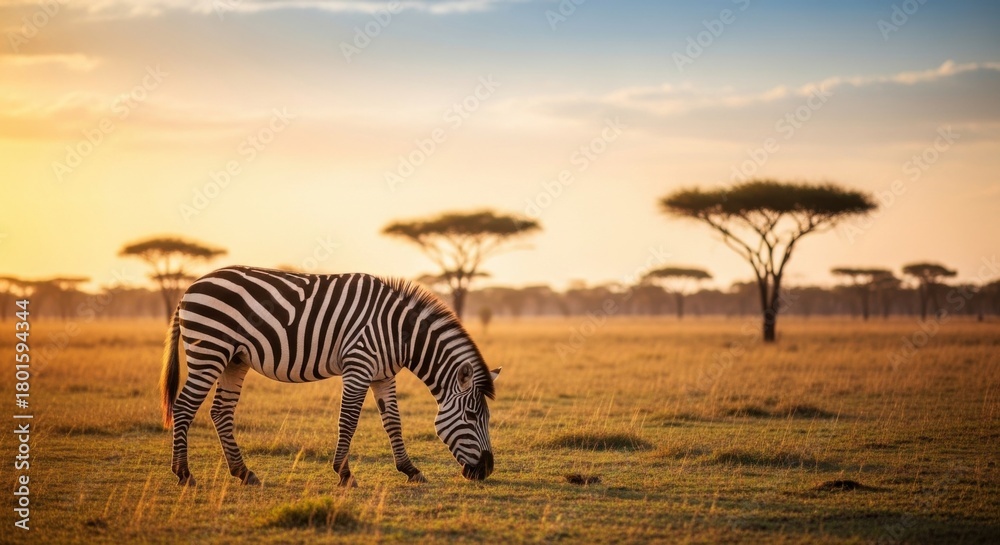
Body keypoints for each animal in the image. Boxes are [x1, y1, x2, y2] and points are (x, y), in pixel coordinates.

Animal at [160, 265, 500, 487]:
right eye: (472, 416)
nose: (487, 470)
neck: (399, 332)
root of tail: (189, 288)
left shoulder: (383, 375)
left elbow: (393, 422)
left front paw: (410, 470)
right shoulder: (358, 365)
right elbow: (348, 419)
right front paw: (344, 474)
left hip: (234, 359)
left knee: (221, 412)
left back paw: (244, 473)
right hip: (210, 351)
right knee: (184, 407)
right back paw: (184, 474)